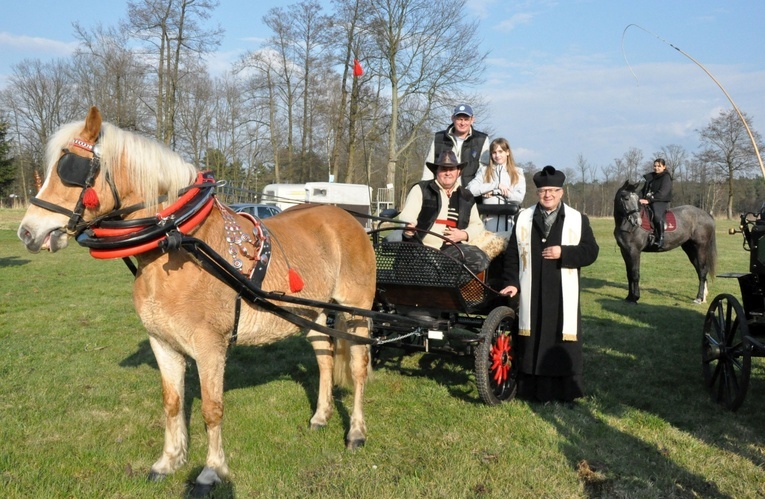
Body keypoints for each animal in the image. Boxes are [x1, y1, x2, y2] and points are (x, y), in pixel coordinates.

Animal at [17, 107, 376, 494]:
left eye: (70, 168)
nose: (27, 231)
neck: (176, 243)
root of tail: (348, 218)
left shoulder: (210, 346)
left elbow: (211, 409)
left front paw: (212, 471)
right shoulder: (161, 342)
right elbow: (172, 403)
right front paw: (169, 461)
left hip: (357, 312)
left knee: (358, 368)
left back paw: (356, 431)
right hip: (310, 311)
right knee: (325, 357)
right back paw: (321, 416)